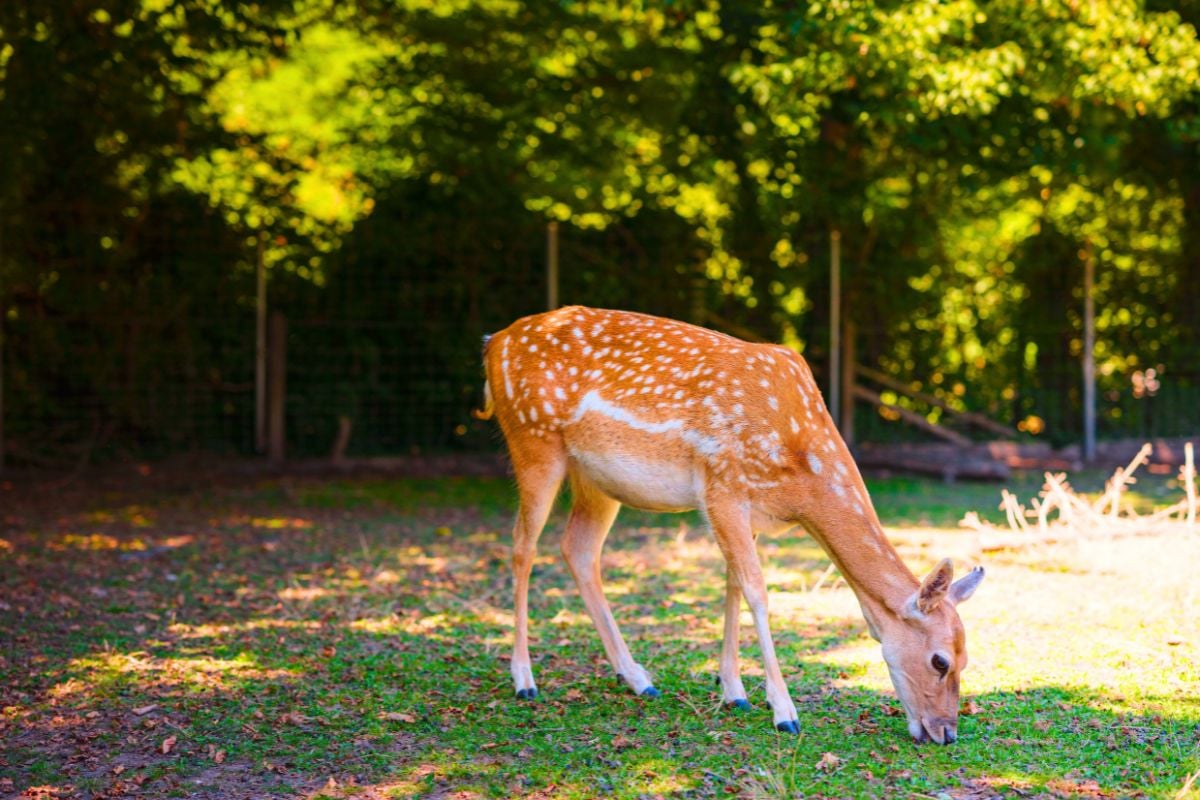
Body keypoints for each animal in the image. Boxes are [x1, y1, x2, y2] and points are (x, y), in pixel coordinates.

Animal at [477, 307, 984, 743]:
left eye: (966, 658)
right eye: (940, 660)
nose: (945, 733)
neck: (799, 478)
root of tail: (492, 343)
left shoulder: (748, 510)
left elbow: (733, 587)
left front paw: (734, 691)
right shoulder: (721, 487)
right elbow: (758, 591)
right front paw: (784, 712)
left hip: (596, 480)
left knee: (578, 549)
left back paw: (638, 678)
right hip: (533, 441)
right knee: (522, 547)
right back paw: (524, 679)